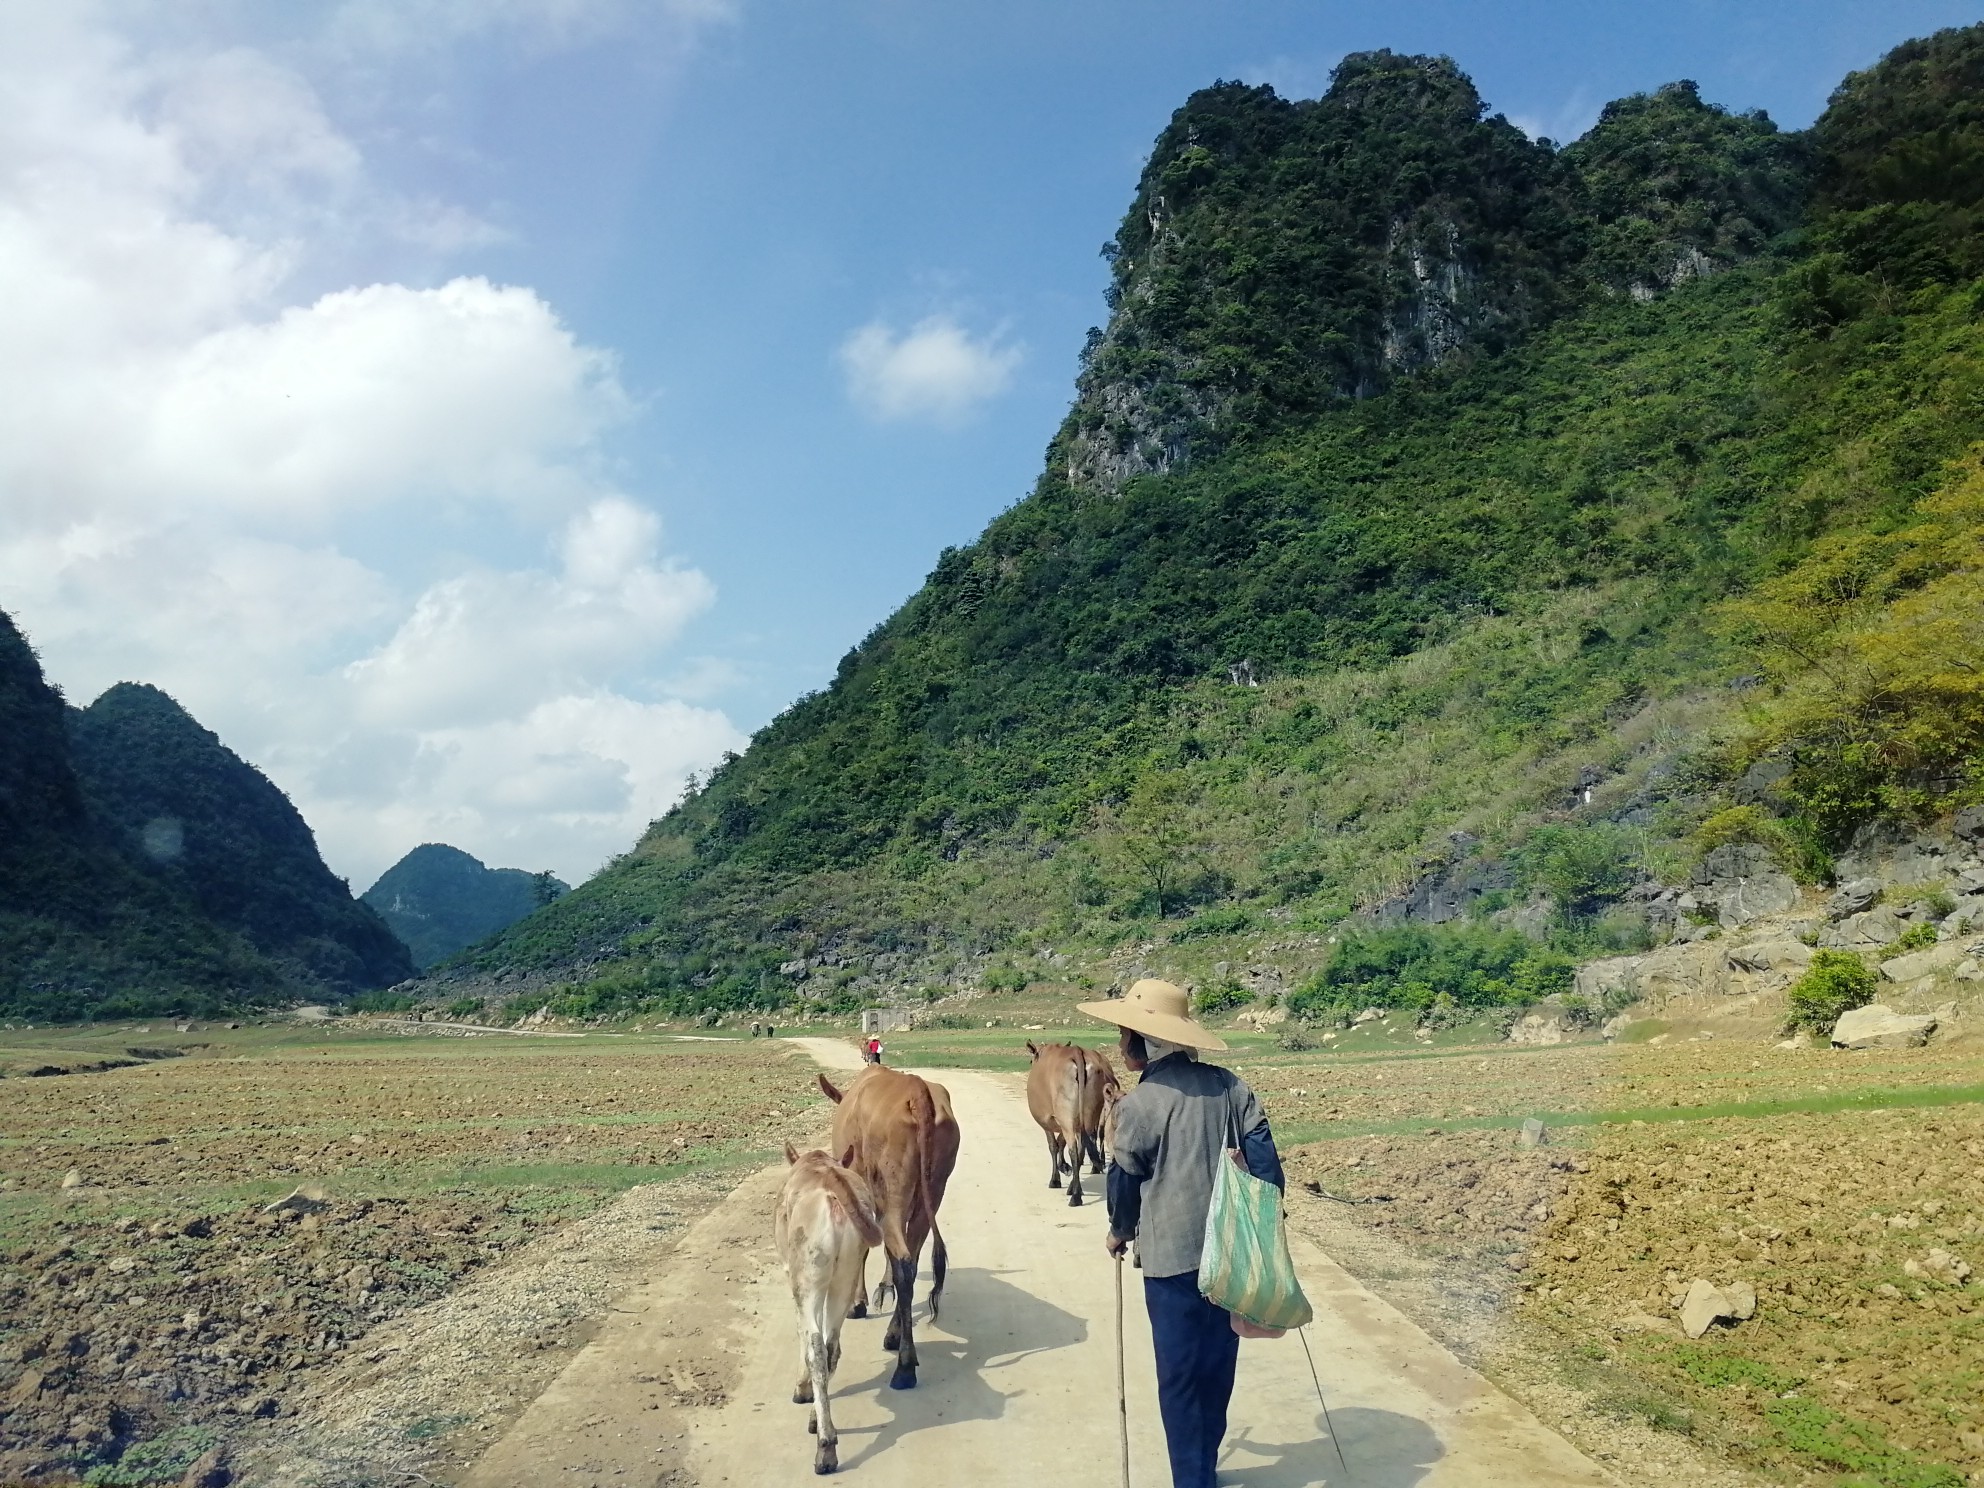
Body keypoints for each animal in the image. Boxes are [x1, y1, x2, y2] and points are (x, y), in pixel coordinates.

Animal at [777, 1150, 880, 1476]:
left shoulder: (792, 1273)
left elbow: (802, 1333)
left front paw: (801, 1388)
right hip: (846, 1271)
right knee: (831, 1344)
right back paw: (819, 1425)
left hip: (808, 1273)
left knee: (815, 1345)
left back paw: (825, 1447)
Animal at [809, 1071, 956, 1396]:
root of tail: (917, 1090)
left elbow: (864, 1249)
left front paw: (858, 1302)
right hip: (933, 1191)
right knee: (909, 1259)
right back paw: (895, 1335)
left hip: (895, 1191)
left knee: (903, 1259)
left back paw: (904, 1366)